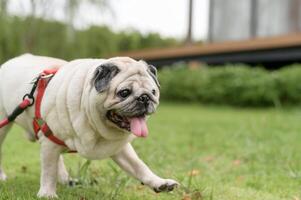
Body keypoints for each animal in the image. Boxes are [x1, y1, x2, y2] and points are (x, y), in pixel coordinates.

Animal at [0, 54, 178, 198]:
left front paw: (159, 183)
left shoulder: (119, 148)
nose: (145, 98)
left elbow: (139, 166)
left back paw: (65, 179)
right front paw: (47, 194)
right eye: (124, 93)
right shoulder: (49, 140)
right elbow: (48, 171)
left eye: (154, 92)